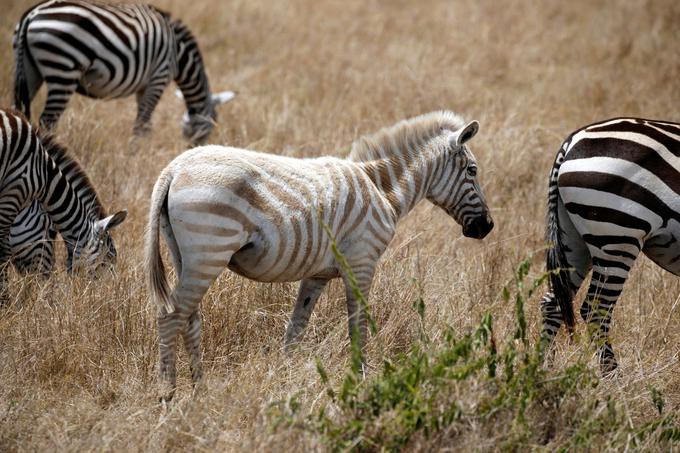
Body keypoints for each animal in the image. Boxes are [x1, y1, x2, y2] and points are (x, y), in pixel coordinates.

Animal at [13, 0, 234, 144]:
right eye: (213, 124)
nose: (193, 150)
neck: (178, 55)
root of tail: (31, 15)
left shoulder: (144, 85)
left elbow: (145, 125)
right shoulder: (159, 77)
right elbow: (141, 124)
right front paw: (135, 156)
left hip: (29, 70)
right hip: (64, 69)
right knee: (47, 121)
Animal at [145, 110, 494, 400]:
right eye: (473, 170)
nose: (487, 227)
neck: (381, 190)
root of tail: (174, 168)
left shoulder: (317, 274)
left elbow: (296, 329)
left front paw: (283, 380)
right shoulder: (362, 263)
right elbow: (358, 326)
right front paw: (360, 382)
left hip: (186, 257)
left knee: (190, 318)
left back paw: (199, 389)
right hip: (209, 250)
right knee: (171, 315)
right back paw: (167, 393)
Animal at [540, 116, 676, 370]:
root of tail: (572, 142)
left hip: (572, 238)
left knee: (553, 302)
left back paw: (541, 368)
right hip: (617, 236)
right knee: (596, 310)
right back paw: (613, 376)